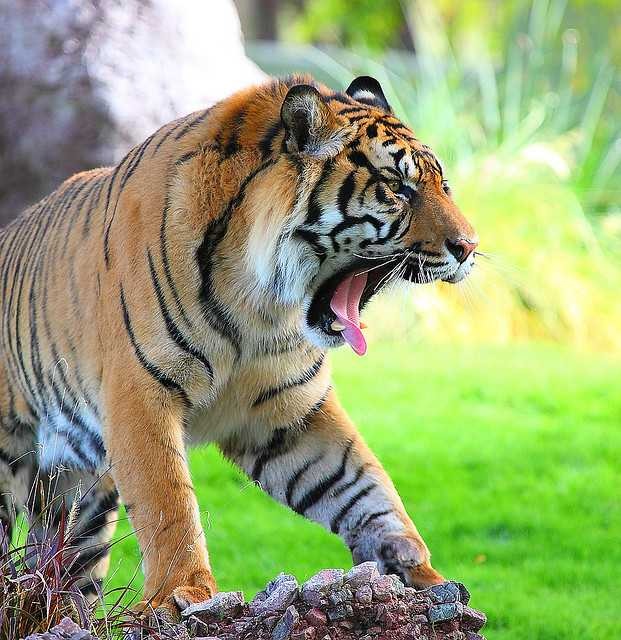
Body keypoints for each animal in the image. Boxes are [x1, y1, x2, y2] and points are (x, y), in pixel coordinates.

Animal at [0, 74, 478, 613]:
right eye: (398, 188)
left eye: (443, 186)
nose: (470, 247)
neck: (260, 306)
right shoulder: (139, 393)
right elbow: (167, 500)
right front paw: (182, 592)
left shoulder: (288, 414)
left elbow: (362, 484)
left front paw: (418, 569)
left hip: (77, 499)